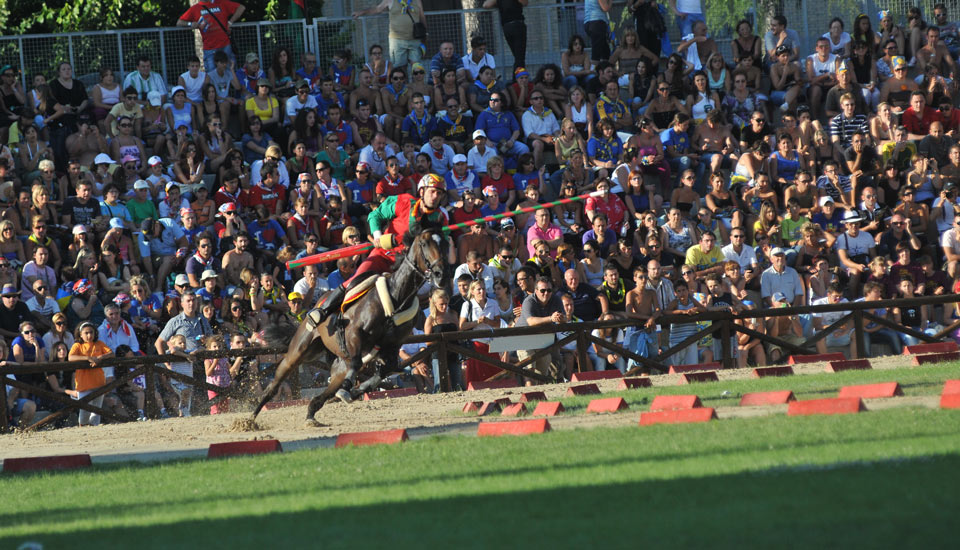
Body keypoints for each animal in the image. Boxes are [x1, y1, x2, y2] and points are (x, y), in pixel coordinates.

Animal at [255, 229, 450, 426]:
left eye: (445, 243)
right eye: (424, 244)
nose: (441, 274)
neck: (396, 300)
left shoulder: (391, 348)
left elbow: (383, 371)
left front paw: (354, 391)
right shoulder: (354, 334)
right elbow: (358, 363)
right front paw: (349, 389)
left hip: (338, 364)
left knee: (325, 392)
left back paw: (312, 412)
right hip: (299, 351)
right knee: (274, 384)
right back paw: (251, 419)